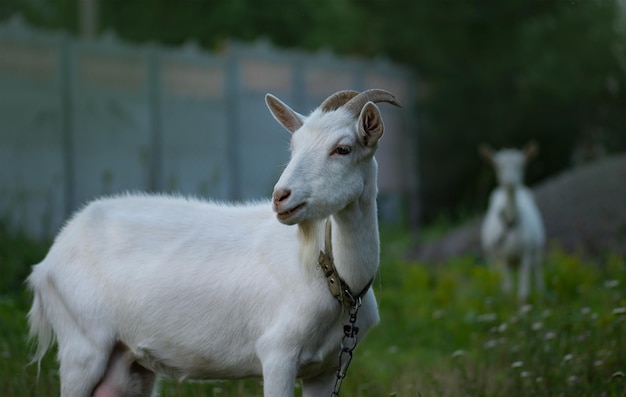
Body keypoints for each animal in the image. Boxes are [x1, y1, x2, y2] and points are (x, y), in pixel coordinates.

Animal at [26, 89, 400, 396]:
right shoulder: (278, 353)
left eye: (343, 149)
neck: (336, 278)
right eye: (293, 147)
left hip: (127, 363)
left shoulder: (325, 369)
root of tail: (49, 261)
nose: (281, 197)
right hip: (82, 343)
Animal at [480, 144, 544, 302]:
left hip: (537, 247)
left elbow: (523, 294)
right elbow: (508, 290)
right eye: (498, 166)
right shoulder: (502, 259)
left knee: (537, 268)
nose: (510, 182)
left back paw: (542, 294)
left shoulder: (526, 254)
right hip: (491, 257)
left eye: (521, 165)